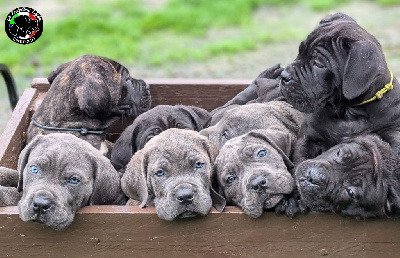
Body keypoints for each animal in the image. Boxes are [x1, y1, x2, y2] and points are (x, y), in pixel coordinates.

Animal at [280, 13, 400, 162]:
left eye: (318, 64)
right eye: (300, 51)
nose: (283, 76)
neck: (348, 112)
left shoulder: (393, 129)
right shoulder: (308, 137)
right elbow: (301, 159)